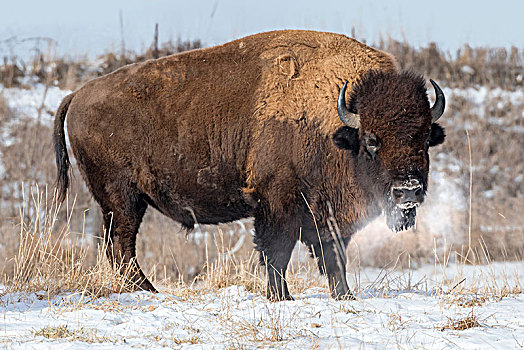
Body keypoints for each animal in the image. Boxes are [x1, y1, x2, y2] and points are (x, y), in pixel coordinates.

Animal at [53, 29, 446, 300]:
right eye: (372, 141)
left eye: (425, 138)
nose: (408, 191)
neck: (334, 124)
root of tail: (78, 95)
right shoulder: (277, 203)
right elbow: (276, 251)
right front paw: (281, 297)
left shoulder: (328, 215)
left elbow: (334, 256)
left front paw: (344, 295)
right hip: (123, 200)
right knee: (120, 245)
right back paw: (148, 291)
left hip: (120, 203)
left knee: (115, 246)